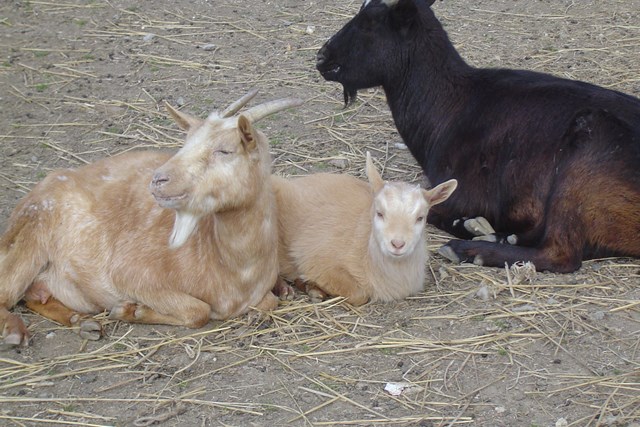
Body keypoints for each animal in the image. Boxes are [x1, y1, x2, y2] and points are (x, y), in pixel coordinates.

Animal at [0, 91, 302, 348]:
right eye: (185, 144)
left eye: (225, 150)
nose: (158, 179)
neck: (234, 270)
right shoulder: (130, 273)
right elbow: (199, 310)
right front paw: (130, 310)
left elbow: (269, 303)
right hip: (30, 235)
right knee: (6, 291)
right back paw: (15, 331)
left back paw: (82, 322)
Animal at [272, 152, 458, 306]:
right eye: (380, 213)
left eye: (420, 218)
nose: (397, 244)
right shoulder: (316, 260)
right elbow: (359, 295)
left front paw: (311, 286)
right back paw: (285, 289)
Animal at [318, 0, 640, 272]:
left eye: (369, 23)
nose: (322, 57)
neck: (454, 106)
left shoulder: (463, 191)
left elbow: (432, 210)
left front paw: (471, 226)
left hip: (583, 160)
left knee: (561, 254)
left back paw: (471, 249)